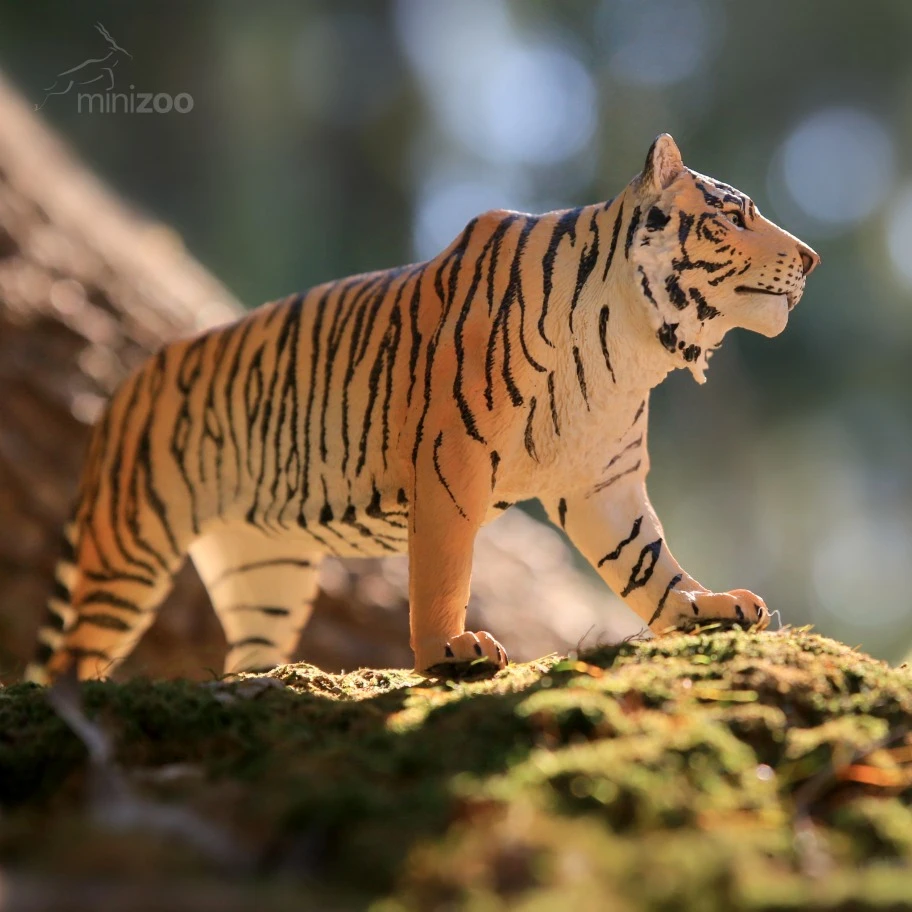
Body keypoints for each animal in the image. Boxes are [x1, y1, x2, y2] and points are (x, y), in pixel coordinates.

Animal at [25, 134, 819, 684]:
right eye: (735, 216)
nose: (811, 258)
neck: (634, 343)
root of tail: (129, 381)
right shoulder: (451, 462)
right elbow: (444, 570)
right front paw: (449, 651)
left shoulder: (604, 482)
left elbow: (650, 562)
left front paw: (702, 610)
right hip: (133, 540)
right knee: (71, 658)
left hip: (264, 567)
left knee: (243, 653)